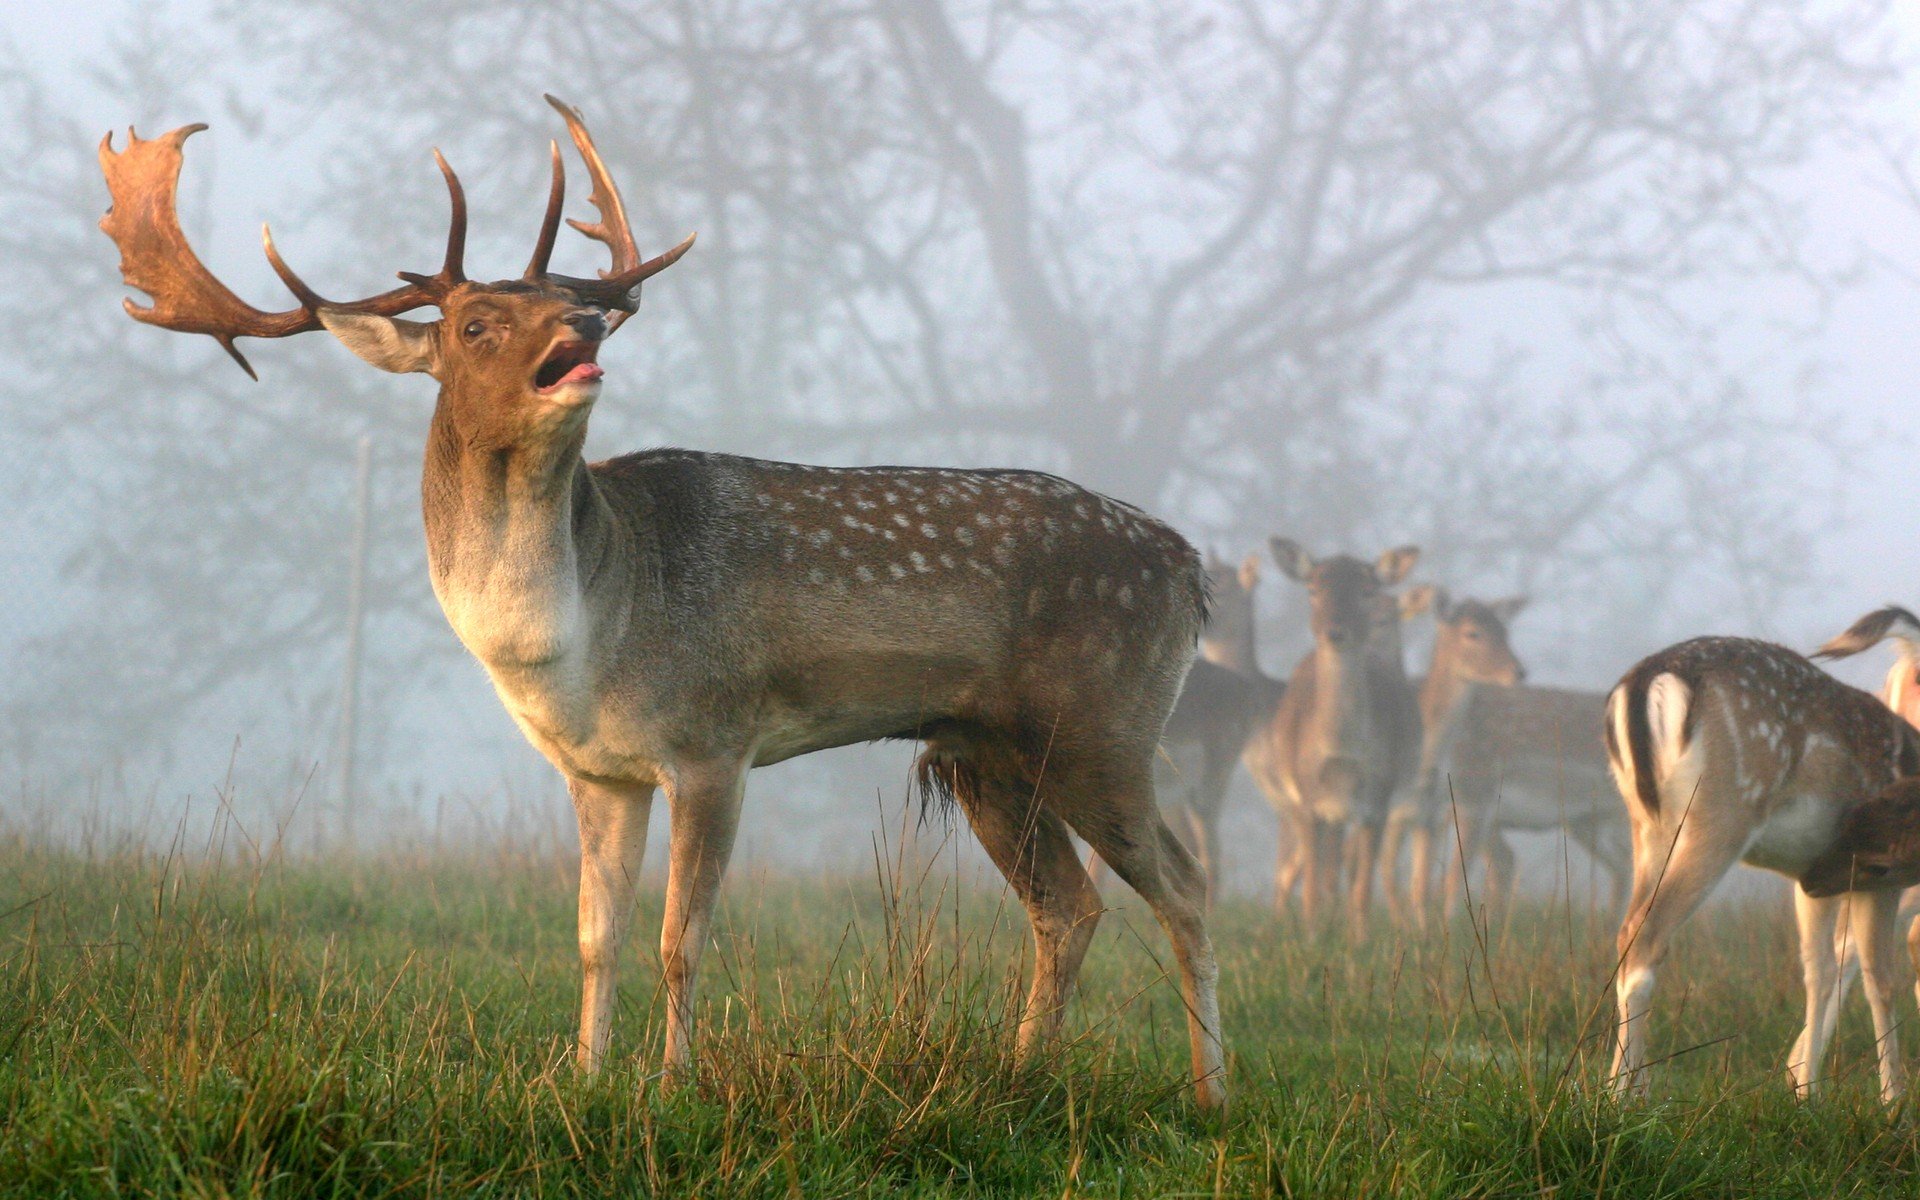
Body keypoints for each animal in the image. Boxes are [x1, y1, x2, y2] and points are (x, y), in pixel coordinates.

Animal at [99, 98, 1227, 1110]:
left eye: (557, 300)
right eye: (475, 322)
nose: (588, 317)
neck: (587, 639)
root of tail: (1191, 569)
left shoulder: (712, 740)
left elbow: (681, 940)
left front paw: (673, 1087)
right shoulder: (600, 773)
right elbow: (595, 939)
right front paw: (584, 1077)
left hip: (1102, 722)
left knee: (1185, 883)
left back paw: (1211, 1094)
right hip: (983, 752)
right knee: (1069, 907)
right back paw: (1024, 1073)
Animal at [1243, 540, 1421, 934]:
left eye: (1367, 590)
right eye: (1313, 589)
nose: (1335, 632)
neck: (1342, 753)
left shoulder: (1379, 797)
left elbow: (1362, 888)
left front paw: (1360, 940)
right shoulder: (1308, 797)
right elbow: (1311, 886)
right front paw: (1311, 937)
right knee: (1315, 873)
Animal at [1605, 636, 1920, 1103]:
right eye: (1879, 862)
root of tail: (1645, 681)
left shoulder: (1815, 877)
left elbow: (1819, 970)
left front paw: (1807, 1093)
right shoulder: (1876, 876)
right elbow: (1879, 980)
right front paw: (1893, 1103)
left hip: (1647, 826)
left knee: (1628, 931)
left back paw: (1615, 1087)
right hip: (1723, 814)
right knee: (1647, 936)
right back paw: (1623, 1098)